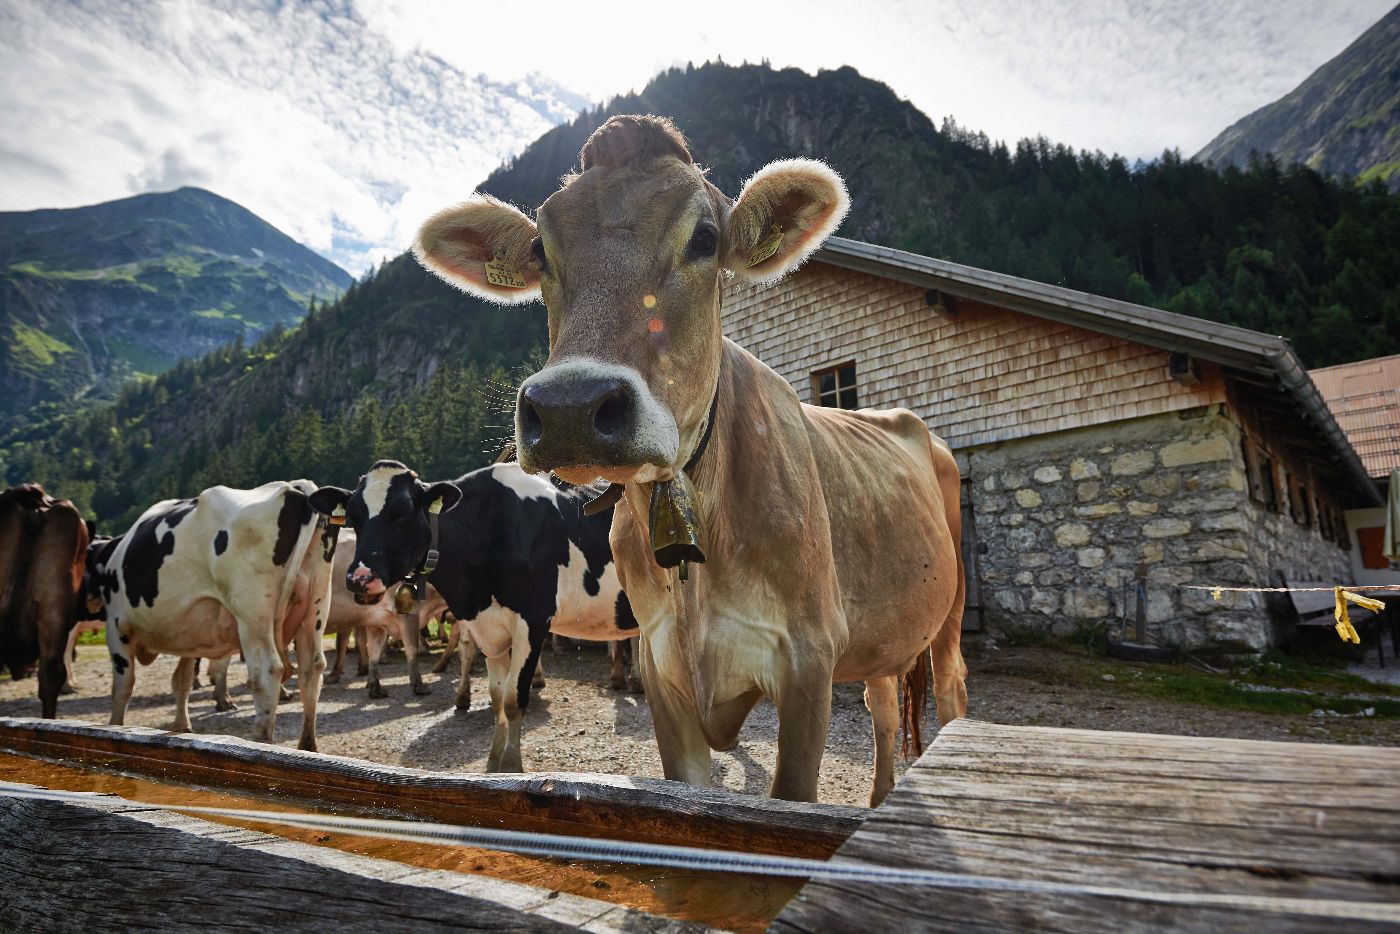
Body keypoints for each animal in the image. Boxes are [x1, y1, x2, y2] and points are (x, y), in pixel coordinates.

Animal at [87, 481, 337, 749]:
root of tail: (294, 488)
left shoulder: (116, 625)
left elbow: (122, 686)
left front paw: (115, 726)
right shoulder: (188, 634)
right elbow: (182, 680)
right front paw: (182, 726)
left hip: (253, 618)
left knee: (267, 674)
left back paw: (260, 742)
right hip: (315, 610)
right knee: (312, 670)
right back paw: (307, 748)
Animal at [309, 461, 638, 772]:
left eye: (402, 512)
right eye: (353, 517)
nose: (359, 579)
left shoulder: (533, 620)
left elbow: (514, 698)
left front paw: (511, 767)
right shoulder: (488, 628)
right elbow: (497, 698)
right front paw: (493, 765)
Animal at [411, 115, 967, 805]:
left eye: (704, 239)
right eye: (540, 250)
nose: (570, 407)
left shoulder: (808, 658)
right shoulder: (661, 666)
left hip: (950, 612)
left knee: (950, 697)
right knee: (884, 705)